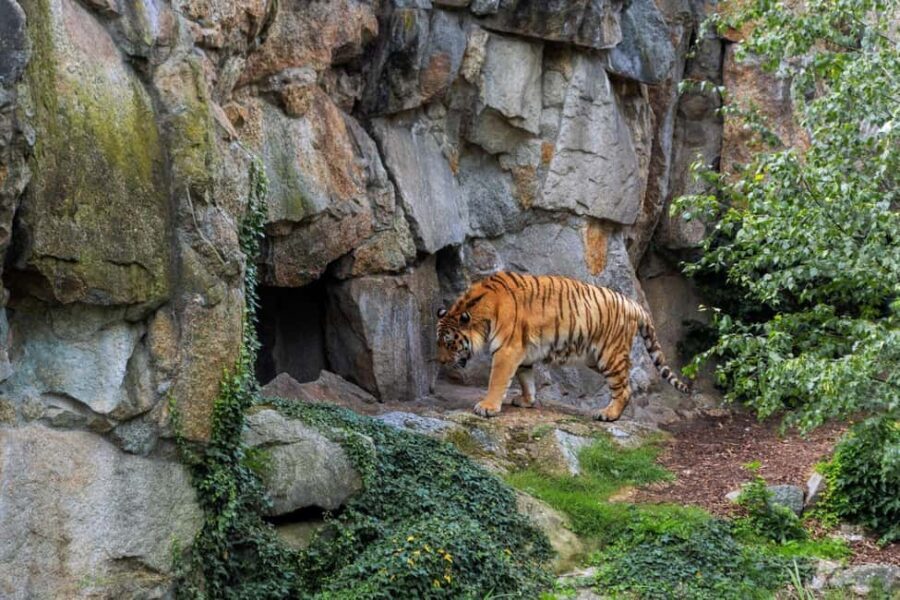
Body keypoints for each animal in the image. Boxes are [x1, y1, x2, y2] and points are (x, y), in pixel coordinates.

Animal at [435, 271, 690, 421]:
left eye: (449, 343)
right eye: (439, 343)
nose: (441, 361)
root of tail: (633, 303)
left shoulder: (506, 350)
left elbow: (497, 381)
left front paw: (487, 407)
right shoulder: (523, 353)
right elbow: (526, 379)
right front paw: (526, 401)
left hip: (609, 355)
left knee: (624, 389)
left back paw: (608, 414)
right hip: (595, 358)